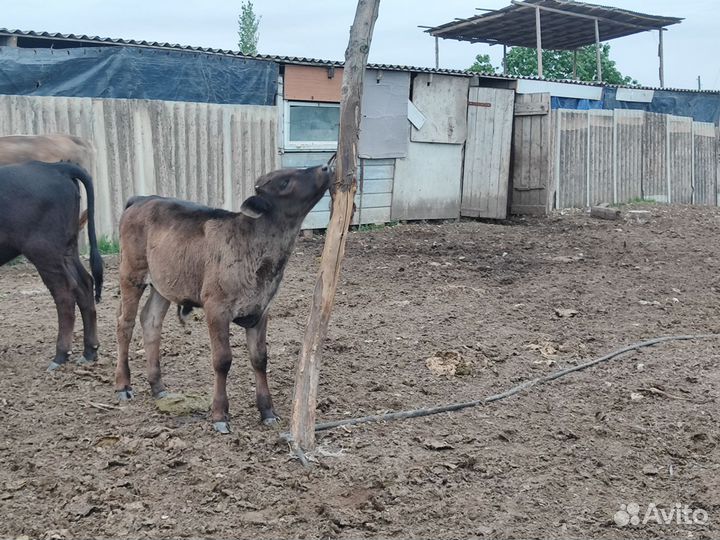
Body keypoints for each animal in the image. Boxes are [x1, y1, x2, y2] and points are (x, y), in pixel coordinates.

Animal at [0, 161, 104, 371]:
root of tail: (55, 167)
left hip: (44, 251)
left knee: (64, 292)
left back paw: (60, 355)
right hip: (67, 250)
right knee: (84, 284)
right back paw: (89, 351)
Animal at [114, 164, 332, 433]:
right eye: (284, 182)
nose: (325, 167)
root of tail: (141, 198)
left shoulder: (261, 309)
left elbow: (260, 358)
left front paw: (267, 411)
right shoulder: (215, 308)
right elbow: (222, 360)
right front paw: (219, 414)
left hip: (162, 283)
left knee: (151, 321)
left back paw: (158, 386)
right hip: (131, 272)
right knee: (125, 323)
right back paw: (123, 385)